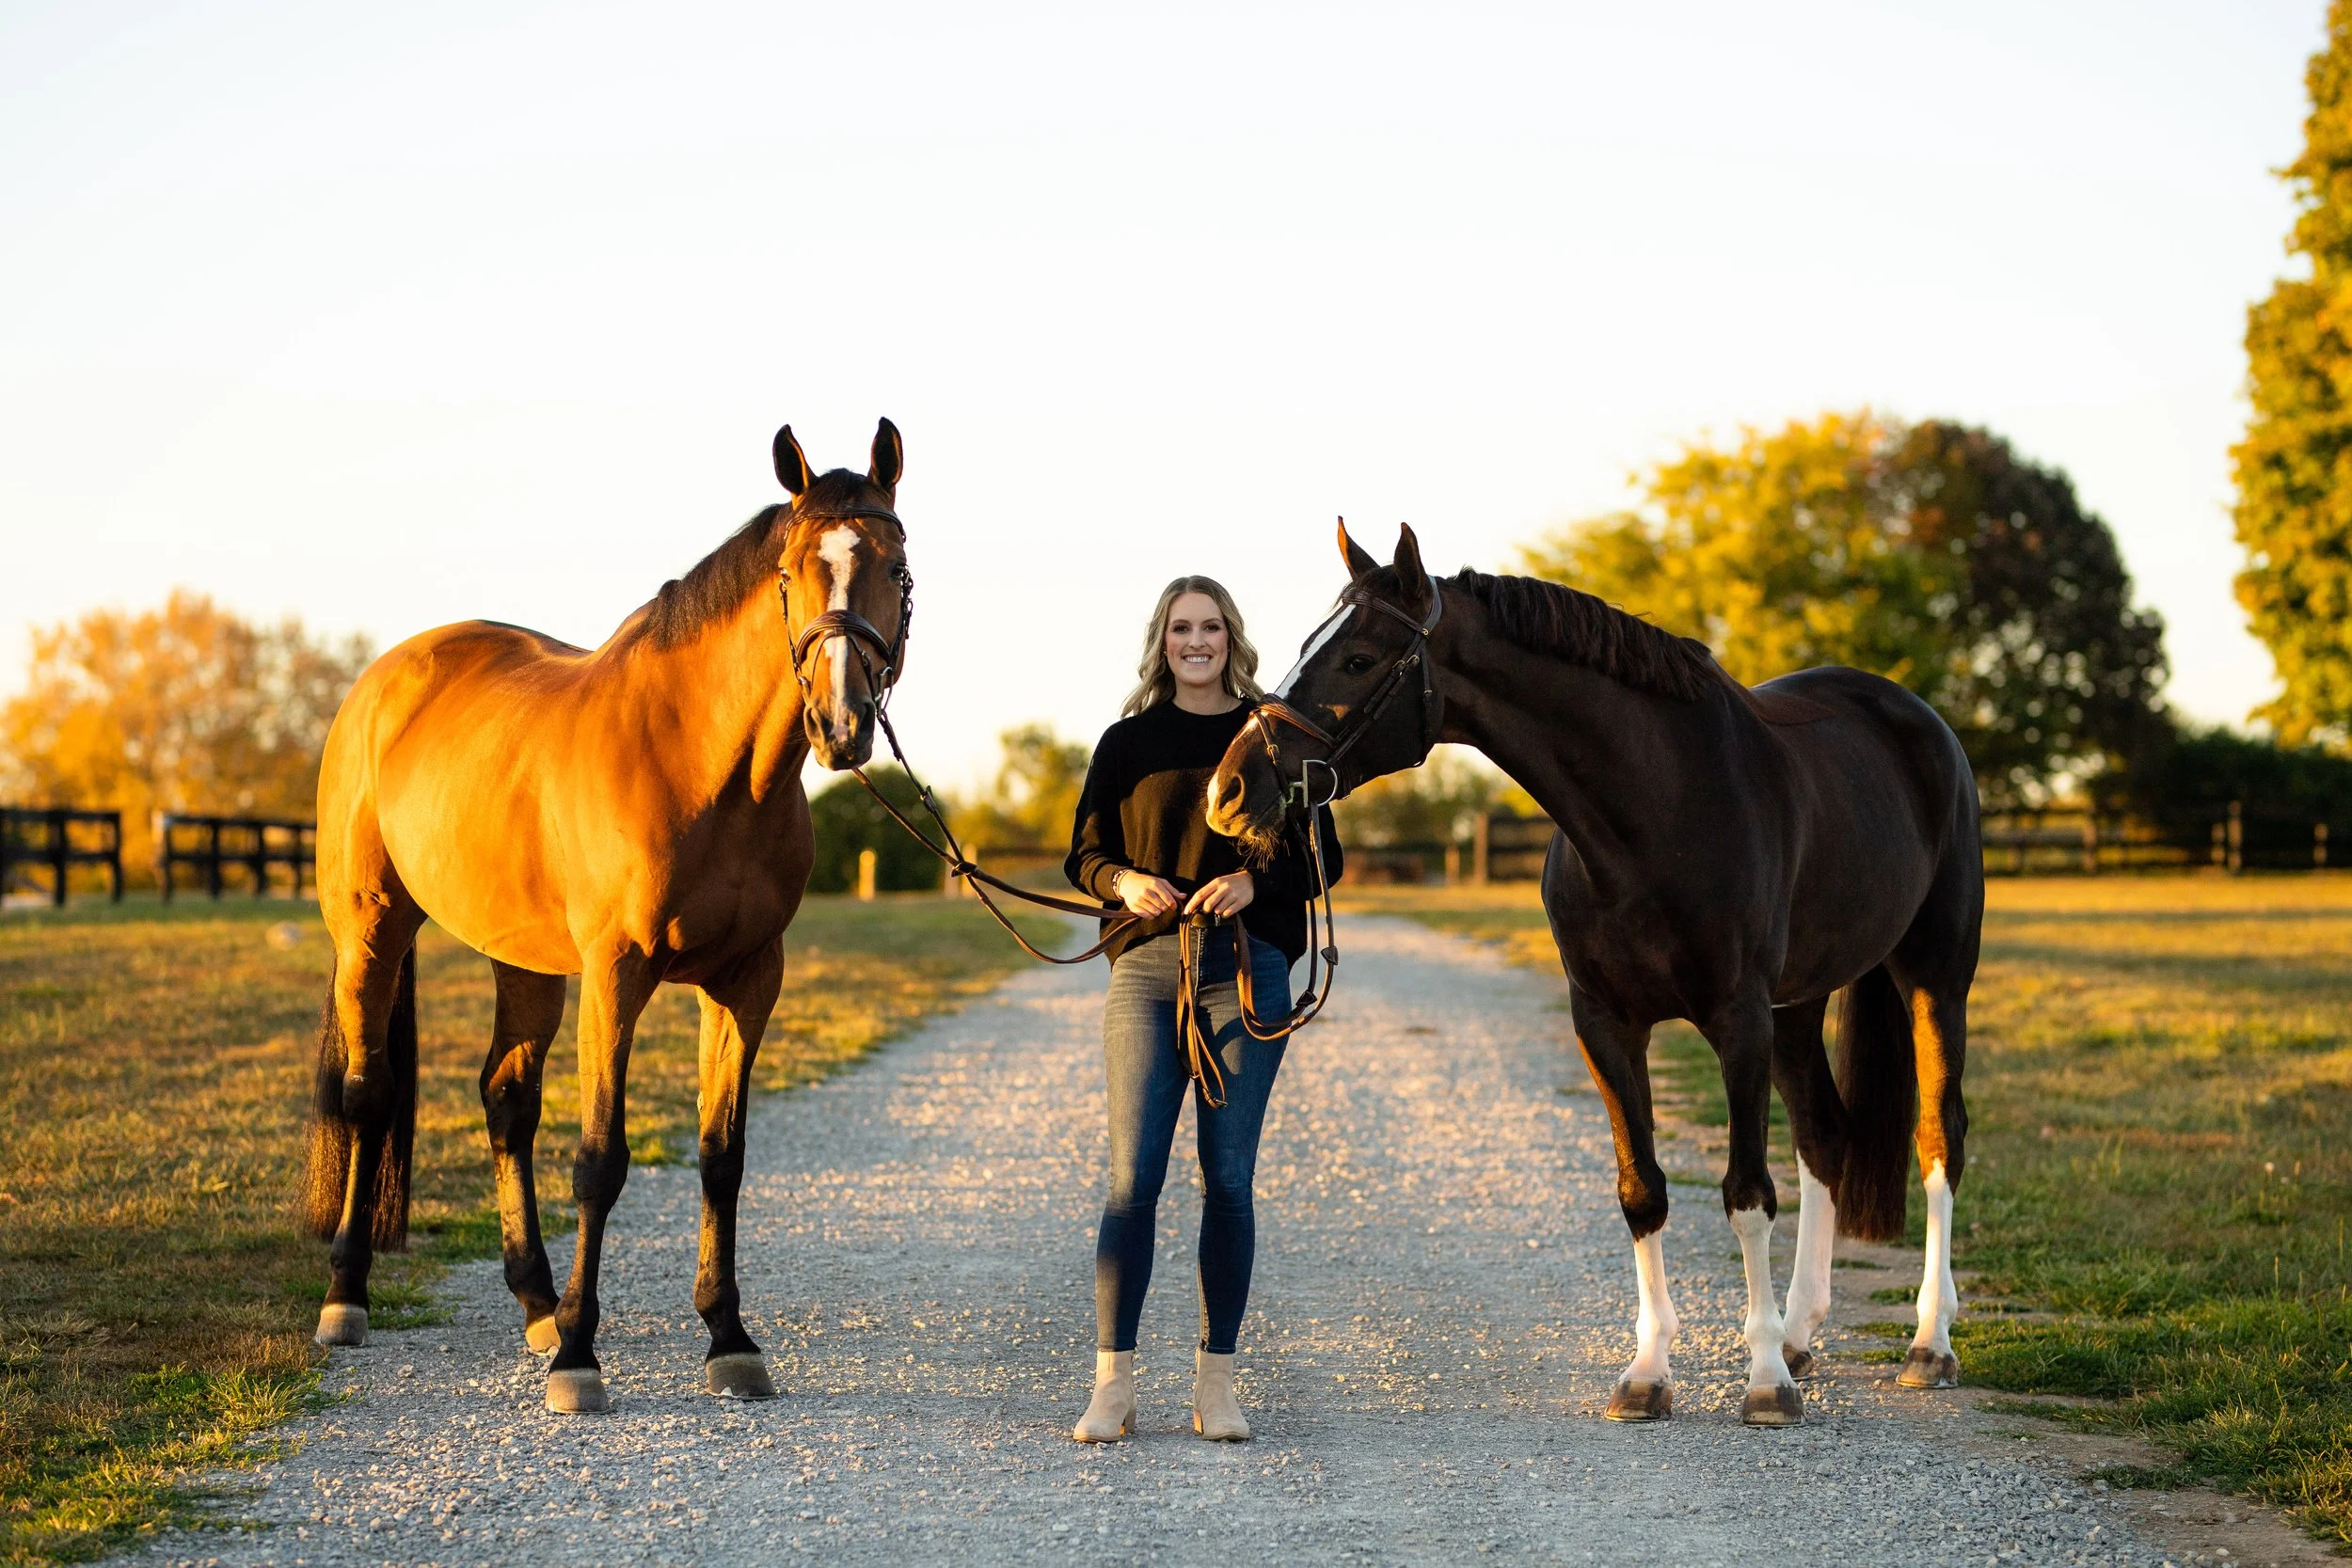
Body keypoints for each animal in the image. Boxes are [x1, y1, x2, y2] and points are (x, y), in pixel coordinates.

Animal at [301, 419, 914, 1414]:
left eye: (896, 569)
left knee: (506, 1101)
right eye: (791, 573)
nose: (842, 722)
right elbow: (599, 1159)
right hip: (371, 933)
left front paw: (728, 1338)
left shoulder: (748, 980)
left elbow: (722, 1156)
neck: (699, 763)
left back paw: (537, 1305)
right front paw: (582, 1359)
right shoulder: (617, 973)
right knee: (369, 1095)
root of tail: (385, 680)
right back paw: (348, 1297)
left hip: (523, 959)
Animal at [1206, 520, 1982, 1426]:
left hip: (1932, 977)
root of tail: (1917, 719)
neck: (1658, 806)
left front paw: (1763, 1382)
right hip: (1800, 1004)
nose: (1228, 791)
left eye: (1359, 659)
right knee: (1825, 1135)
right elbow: (1641, 1187)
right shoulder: (1605, 1022)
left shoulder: (1739, 1020)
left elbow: (1747, 1192)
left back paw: (1928, 1342)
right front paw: (1649, 1373)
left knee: (1938, 1135)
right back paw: (1799, 1332)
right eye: (1305, 646)